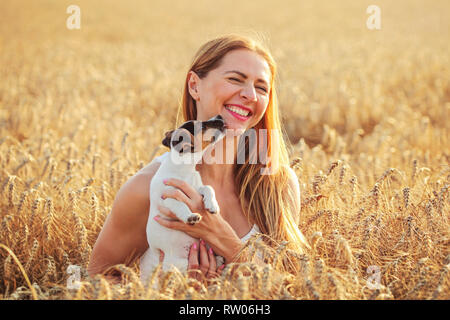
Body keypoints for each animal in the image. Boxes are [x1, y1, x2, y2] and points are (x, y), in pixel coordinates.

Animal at [140, 115, 227, 282]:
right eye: (202, 126)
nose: (220, 116)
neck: (184, 169)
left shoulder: (197, 188)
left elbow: (208, 188)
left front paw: (213, 205)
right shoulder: (166, 198)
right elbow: (179, 204)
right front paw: (190, 216)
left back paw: (219, 260)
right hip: (178, 264)